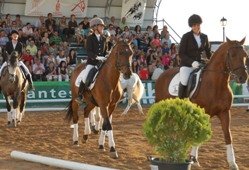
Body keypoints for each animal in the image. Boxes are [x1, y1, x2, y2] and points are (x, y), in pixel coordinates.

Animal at [155, 37, 248, 169]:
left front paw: (232, 163)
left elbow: (228, 136)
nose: (243, 78)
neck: (216, 84)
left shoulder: (225, 113)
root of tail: (162, 74)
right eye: (232, 55)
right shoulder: (202, 113)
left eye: (245, 55)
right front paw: (193, 160)